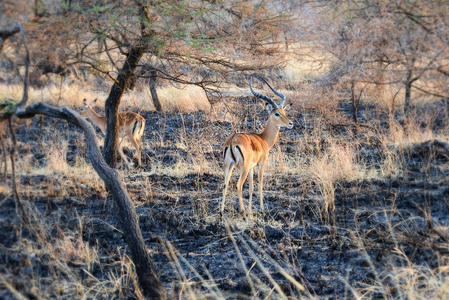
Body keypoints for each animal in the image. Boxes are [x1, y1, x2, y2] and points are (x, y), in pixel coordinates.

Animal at [221, 76, 292, 219]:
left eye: (283, 111)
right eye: (276, 114)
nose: (290, 123)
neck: (263, 139)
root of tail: (232, 140)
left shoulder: (251, 168)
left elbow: (251, 187)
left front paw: (250, 211)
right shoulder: (261, 164)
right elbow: (259, 184)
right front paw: (262, 210)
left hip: (228, 166)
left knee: (225, 185)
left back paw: (221, 214)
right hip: (242, 167)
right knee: (238, 186)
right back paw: (243, 215)